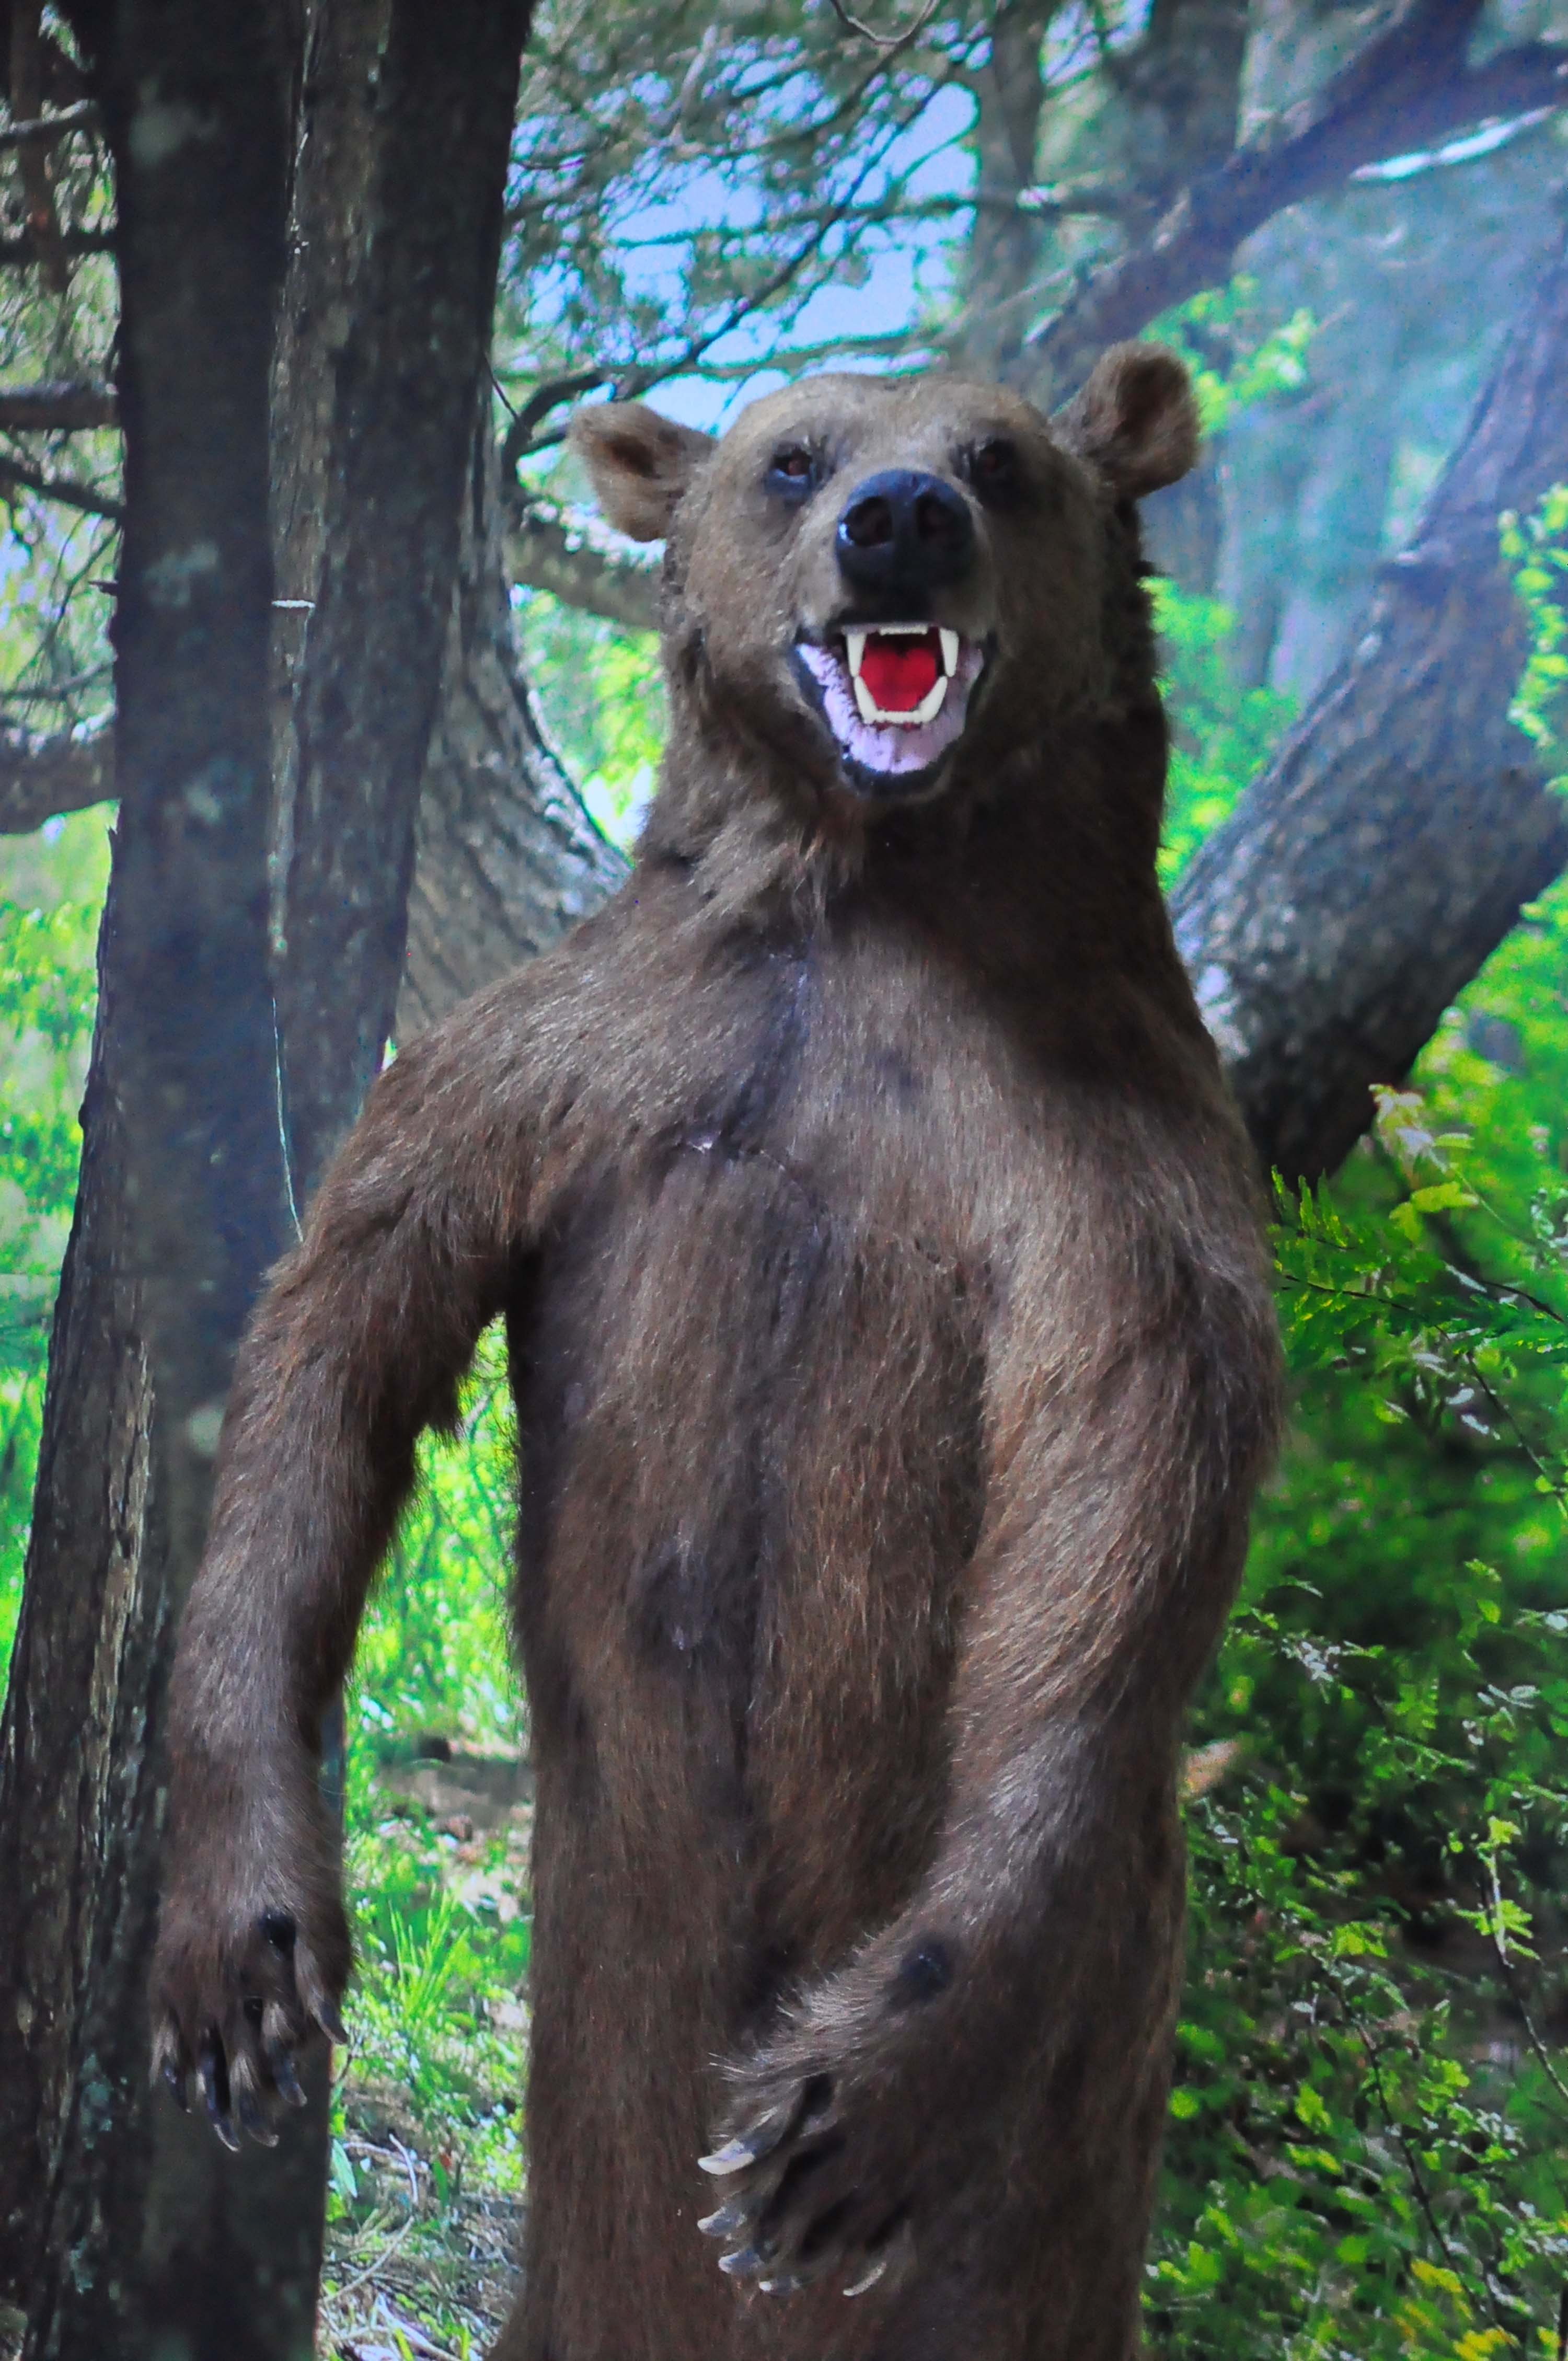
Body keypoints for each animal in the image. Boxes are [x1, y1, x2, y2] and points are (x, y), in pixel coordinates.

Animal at [153, 349, 1284, 2361]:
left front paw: (836, 2107)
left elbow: (1119, 1503)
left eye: (1003, 455)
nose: (900, 517)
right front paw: (243, 1959)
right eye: (791, 456)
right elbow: (337, 1340)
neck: (863, 899)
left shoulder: (1109, 1159)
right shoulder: (560, 1060)